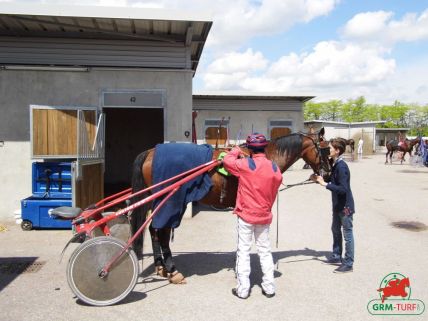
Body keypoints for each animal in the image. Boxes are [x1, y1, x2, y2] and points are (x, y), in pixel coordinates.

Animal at [129, 127, 330, 282]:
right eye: (326, 149)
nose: (328, 173)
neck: (263, 158)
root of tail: (151, 152)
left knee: (154, 231)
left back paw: (160, 266)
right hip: (170, 203)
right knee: (162, 233)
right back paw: (172, 270)